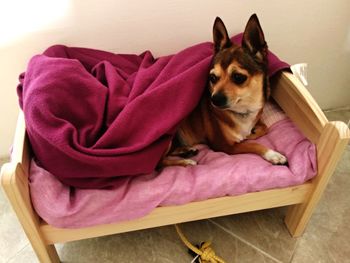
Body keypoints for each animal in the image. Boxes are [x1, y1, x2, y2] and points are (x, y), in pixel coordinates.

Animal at [161, 13, 288, 167]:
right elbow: (252, 144)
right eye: (212, 78)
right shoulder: (224, 146)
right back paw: (186, 161)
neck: (244, 110)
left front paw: (252, 132)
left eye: (238, 77)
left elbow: (264, 127)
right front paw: (273, 154)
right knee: (159, 163)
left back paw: (186, 150)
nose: (214, 99)